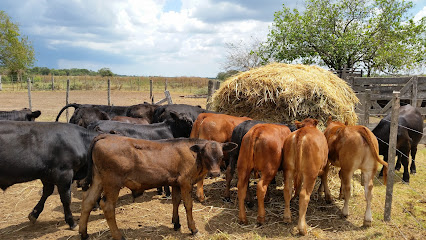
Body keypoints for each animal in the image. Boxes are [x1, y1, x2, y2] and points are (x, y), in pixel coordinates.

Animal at [79, 134, 236, 239]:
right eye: (206, 155)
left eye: (221, 156)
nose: (215, 173)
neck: (193, 154)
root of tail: (105, 136)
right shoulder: (185, 182)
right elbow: (188, 205)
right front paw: (193, 228)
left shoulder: (176, 183)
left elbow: (176, 201)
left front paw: (176, 223)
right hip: (112, 183)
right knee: (107, 206)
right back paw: (118, 236)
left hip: (98, 180)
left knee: (88, 202)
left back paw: (83, 233)